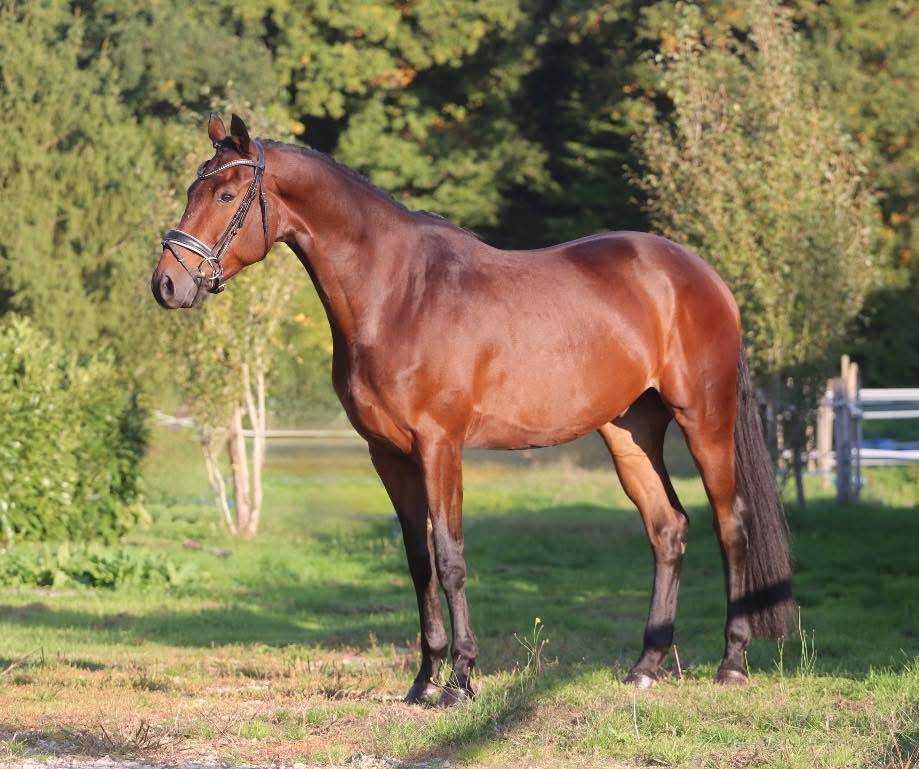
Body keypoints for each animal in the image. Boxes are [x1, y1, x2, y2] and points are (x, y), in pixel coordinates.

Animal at [152, 113, 793, 706]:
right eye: (191, 189)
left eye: (227, 195)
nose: (166, 285)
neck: (399, 294)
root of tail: (701, 275)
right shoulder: (388, 455)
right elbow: (418, 561)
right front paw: (423, 680)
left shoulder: (441, 445)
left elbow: (450, 554)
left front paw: (461, 679)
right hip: (629, 431)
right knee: (667, 528)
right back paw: (645, 667)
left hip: (704, 420)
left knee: (731, 525)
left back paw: (732, 663)